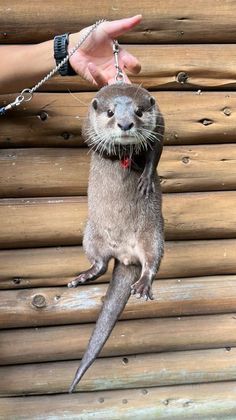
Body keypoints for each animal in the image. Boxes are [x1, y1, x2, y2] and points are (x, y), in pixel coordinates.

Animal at [68, 83, 164, 392]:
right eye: (110, 112)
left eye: (139, 111)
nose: (125, 124)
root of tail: (125, 255)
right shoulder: (86, 125)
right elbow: (93, 143)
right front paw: (114, 149)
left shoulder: (160, 122)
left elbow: (156, 150)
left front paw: (144, 174)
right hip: (90, 234)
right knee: (100, 263)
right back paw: (82, 276)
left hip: (153, 234)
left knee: (151, 261)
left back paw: (143, 284)